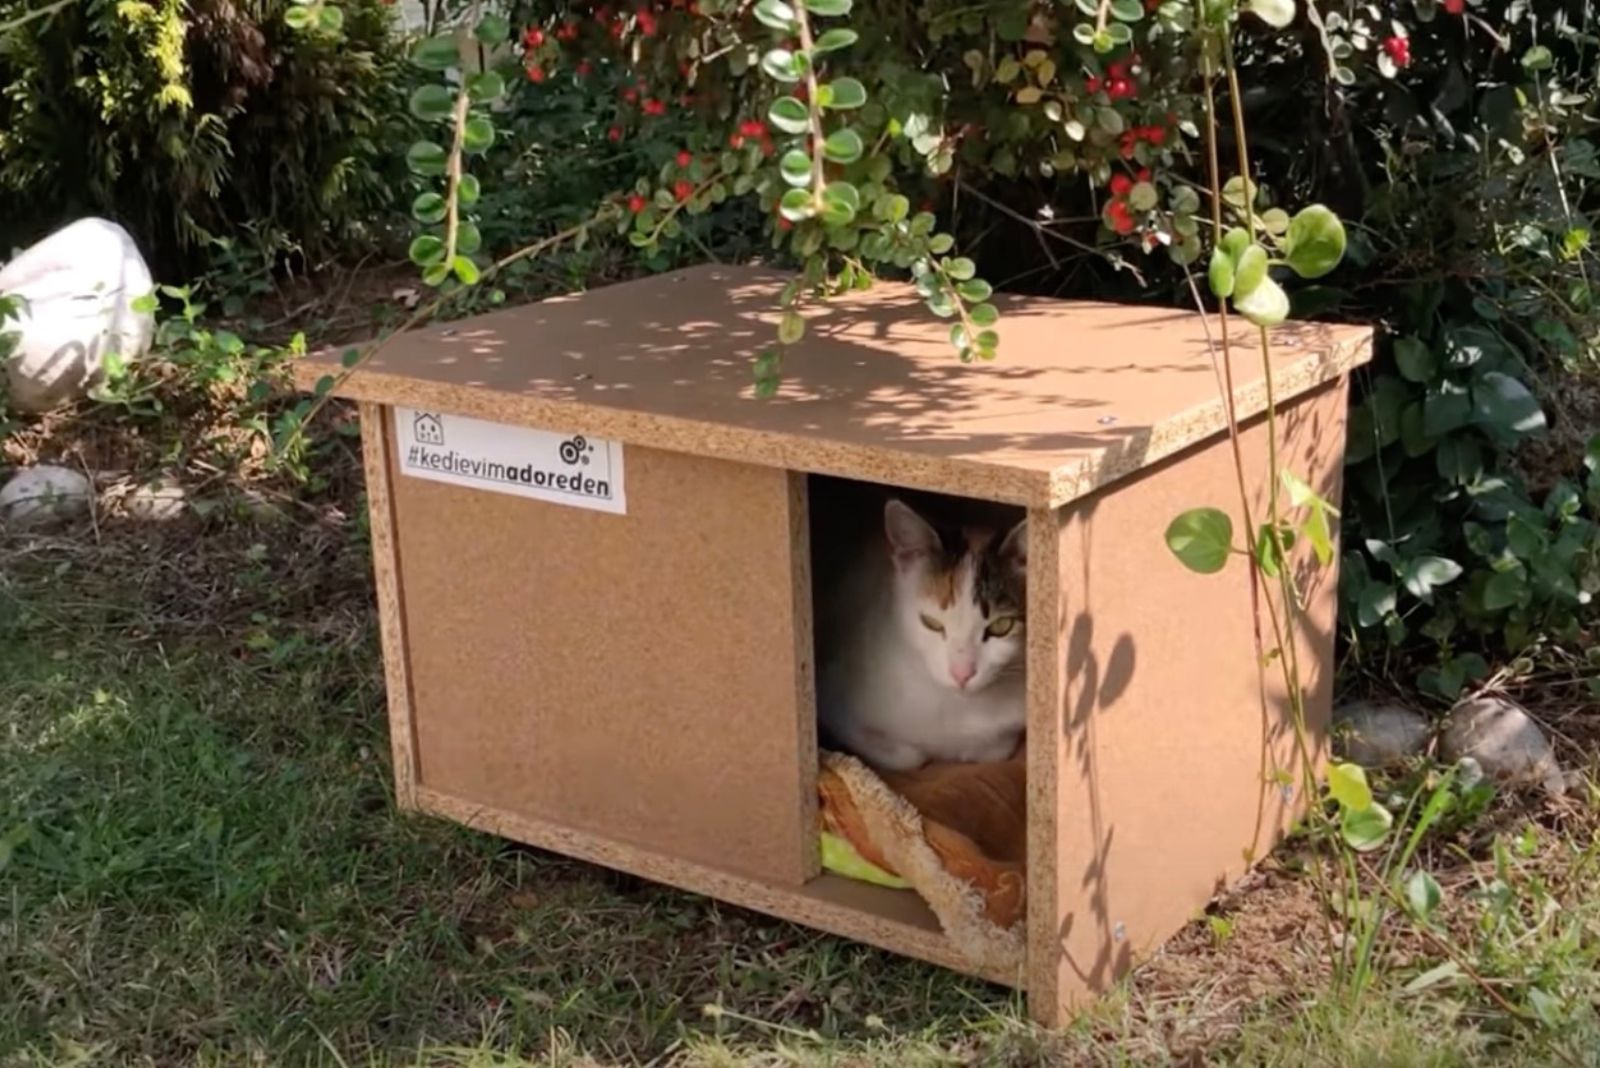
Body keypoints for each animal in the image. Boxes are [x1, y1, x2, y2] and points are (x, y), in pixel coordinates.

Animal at [819, 489, 1030, 770]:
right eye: (931, 622)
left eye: (1001, 626)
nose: (961, 674)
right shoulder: (830, 695)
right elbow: (909, 758)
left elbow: (994, 750)